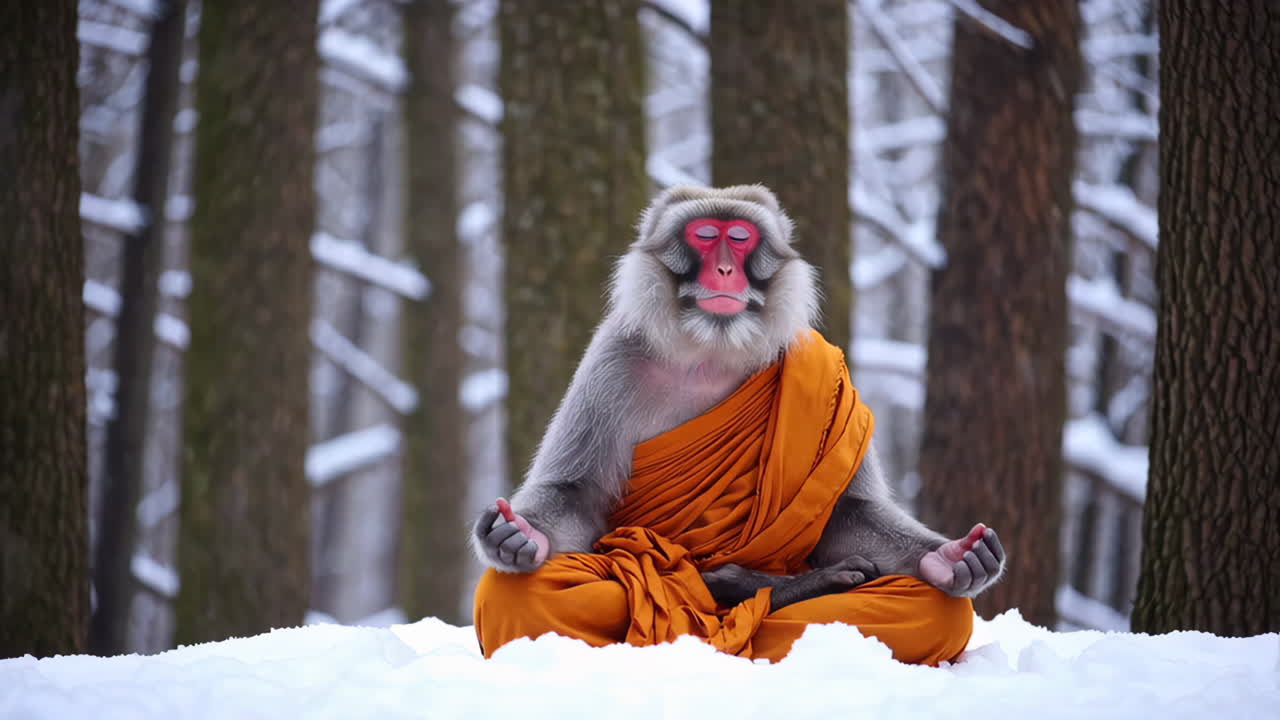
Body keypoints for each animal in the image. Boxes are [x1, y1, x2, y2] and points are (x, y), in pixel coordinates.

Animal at [472, 184, 1005, 614]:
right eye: (707, 235)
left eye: (741, 237)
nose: (726, 269)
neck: (713, 345)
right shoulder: (612, 360)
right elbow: (575, 493)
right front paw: (519, 536)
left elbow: (847, 512)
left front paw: (949, 560)